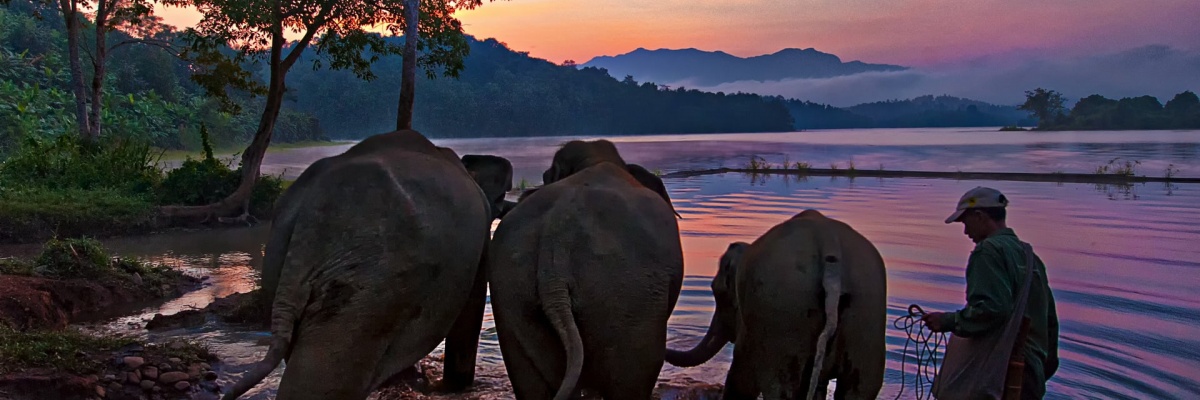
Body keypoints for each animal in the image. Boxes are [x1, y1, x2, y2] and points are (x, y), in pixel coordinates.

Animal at [662, 209, 888, 398]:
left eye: (717, 292)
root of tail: (830, 251)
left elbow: (742, 379)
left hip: (784, 314)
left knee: (781, 387)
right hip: (865, 311)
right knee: (859, 388)